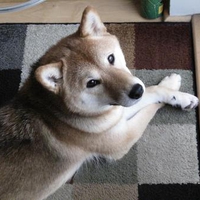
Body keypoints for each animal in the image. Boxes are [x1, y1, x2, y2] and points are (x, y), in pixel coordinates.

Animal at [0, 6, 198, 200]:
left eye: (110, 58)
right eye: (92, 83)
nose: (136, 91)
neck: (53, 111)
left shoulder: (115, 113)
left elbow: (153, 91)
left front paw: (175, 92)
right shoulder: (122, 138)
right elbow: (150, 108)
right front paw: (175, 99)